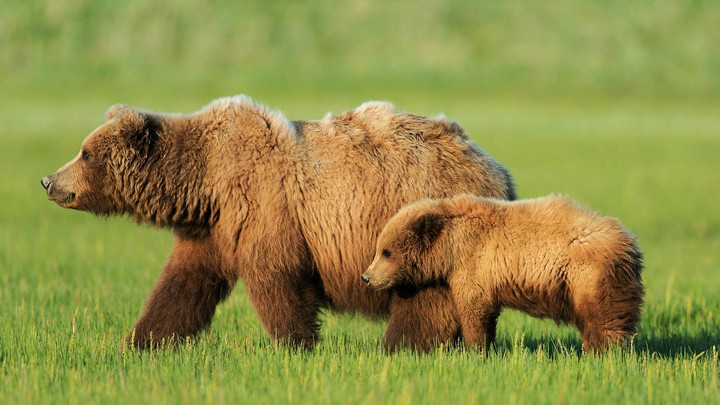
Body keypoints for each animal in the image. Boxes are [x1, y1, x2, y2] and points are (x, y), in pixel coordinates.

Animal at [40, 96, 516, 351]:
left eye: (84, 153)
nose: (48, 181)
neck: (205, 182)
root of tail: (499, 171)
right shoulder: (212, 231)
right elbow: (183, 286)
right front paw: (140, 342)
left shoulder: (264, 207)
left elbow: (277, 280)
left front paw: (297, 345)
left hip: (421, 224)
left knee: (423, 299)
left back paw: (399, 347)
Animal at [362, 194, 644, 352]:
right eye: (379, 249)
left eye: (386, 252)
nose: (367, 277)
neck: (450, 245)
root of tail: (630, 244)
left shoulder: (473, 264)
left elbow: (474, 310)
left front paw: (475, 349)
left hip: (588, 276)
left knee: (604, 319)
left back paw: (602, 353)